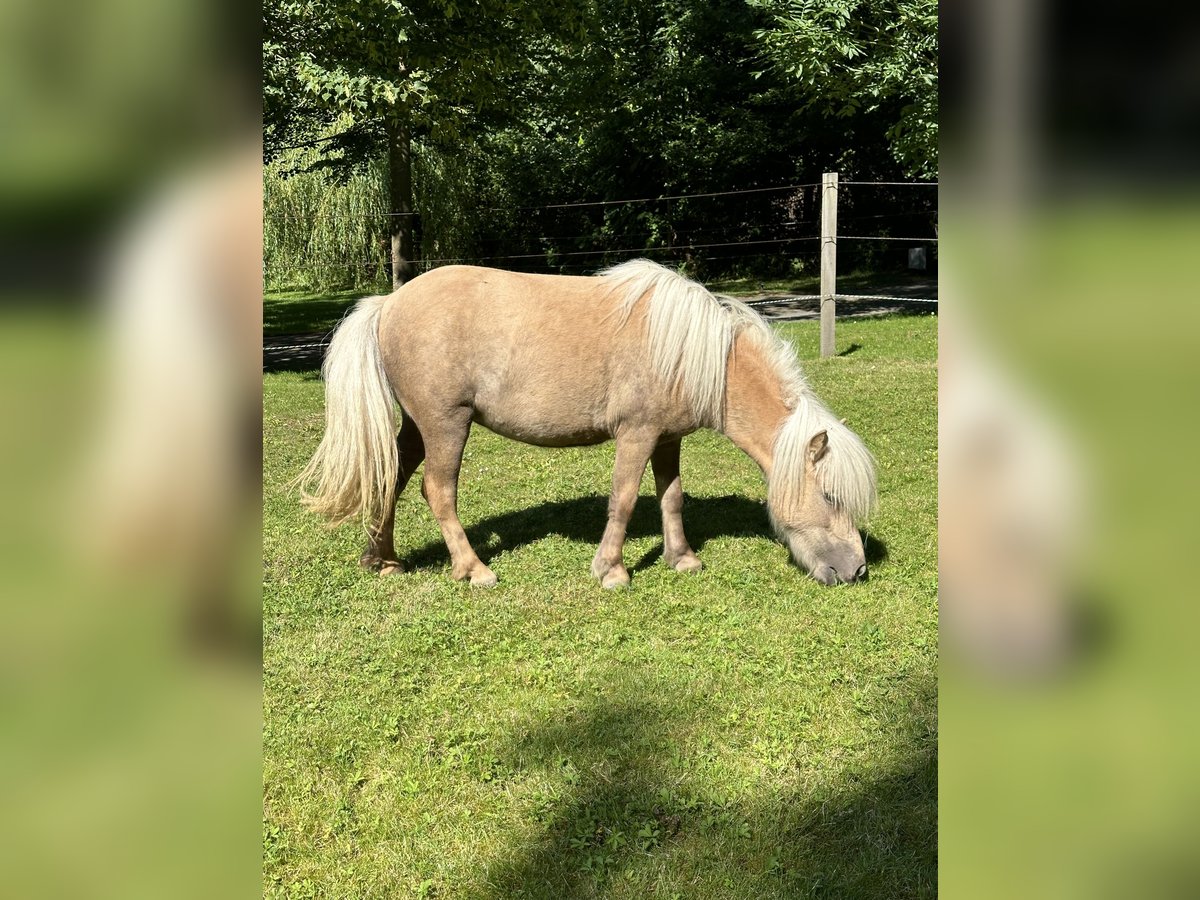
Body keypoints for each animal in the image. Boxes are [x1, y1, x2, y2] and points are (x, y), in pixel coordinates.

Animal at [297, 259, 883, 592]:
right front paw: (612, 571)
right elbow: (623, 499)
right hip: (446, 425)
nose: (856, 570)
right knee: (437, 491)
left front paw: (681, 558)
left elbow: (671, 497)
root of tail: (389, 302)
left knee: (390, 480)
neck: (688, 351)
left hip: (418, 427)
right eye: (830, 497)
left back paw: (383, 560)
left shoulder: (667, 439)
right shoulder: (636, 435)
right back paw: (474, 569)